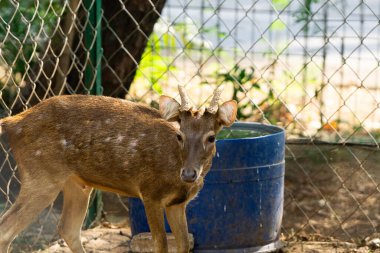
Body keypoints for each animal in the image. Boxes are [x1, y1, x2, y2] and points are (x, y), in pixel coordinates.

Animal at [0, 85, 238, 253]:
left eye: (211, 137)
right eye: (180, 135)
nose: (189, 174)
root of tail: (11, 122)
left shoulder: (177, 204)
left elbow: (183, 245)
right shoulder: (150, 193)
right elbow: (161, 244)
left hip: (76, 184)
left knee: (68, 228)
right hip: (42, 175)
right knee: (7, 229)